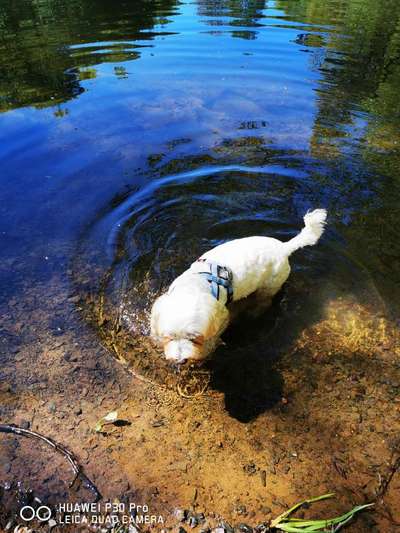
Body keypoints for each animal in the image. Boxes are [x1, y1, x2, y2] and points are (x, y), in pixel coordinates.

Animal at [152, 210, 326, 364]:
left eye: (194, 339)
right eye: (169, 337)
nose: (180, 361)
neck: (195, 283)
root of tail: (284, 248)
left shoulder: (221, 317)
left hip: (269, 286)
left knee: (264, 302)